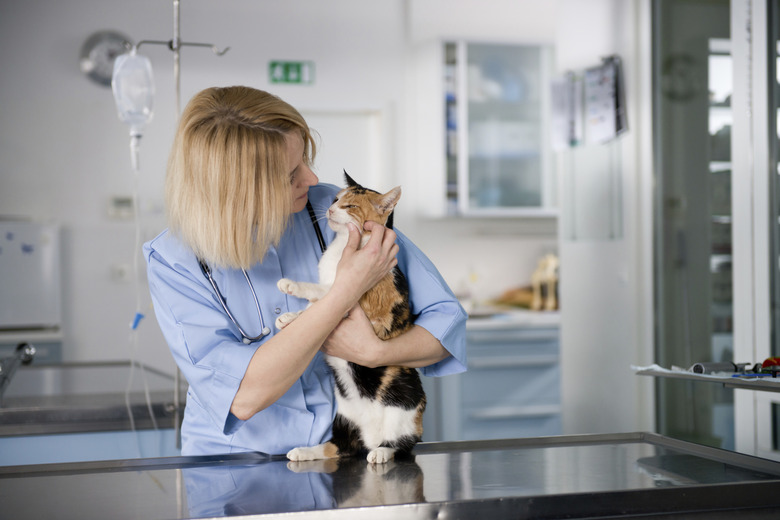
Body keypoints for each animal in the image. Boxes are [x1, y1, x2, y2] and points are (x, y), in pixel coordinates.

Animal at [276, 174, 426, 464]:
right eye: (336, 199)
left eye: (350, 206)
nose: (331, 209)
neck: (342, 249)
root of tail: (368, 438)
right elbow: (312, 309)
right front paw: (289, 318)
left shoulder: (355, 300)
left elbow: (323, 292)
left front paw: (292, 286)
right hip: (343, 419)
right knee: (336, 447)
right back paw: (303, 451)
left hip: (405, 405)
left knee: (402, 444)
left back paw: (381, 453)